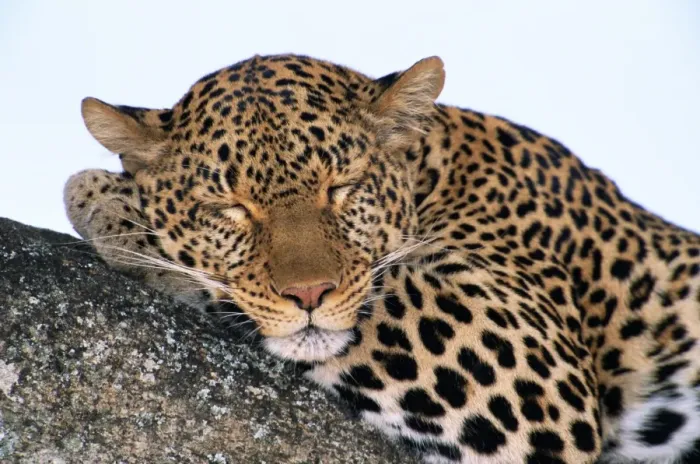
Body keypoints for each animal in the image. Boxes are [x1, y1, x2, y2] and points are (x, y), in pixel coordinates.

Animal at [64, 53, 700, 463]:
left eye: (343, 187)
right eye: (230, 206)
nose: (308, 295)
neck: (439, 172)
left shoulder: (530, 360)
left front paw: (109, 205)